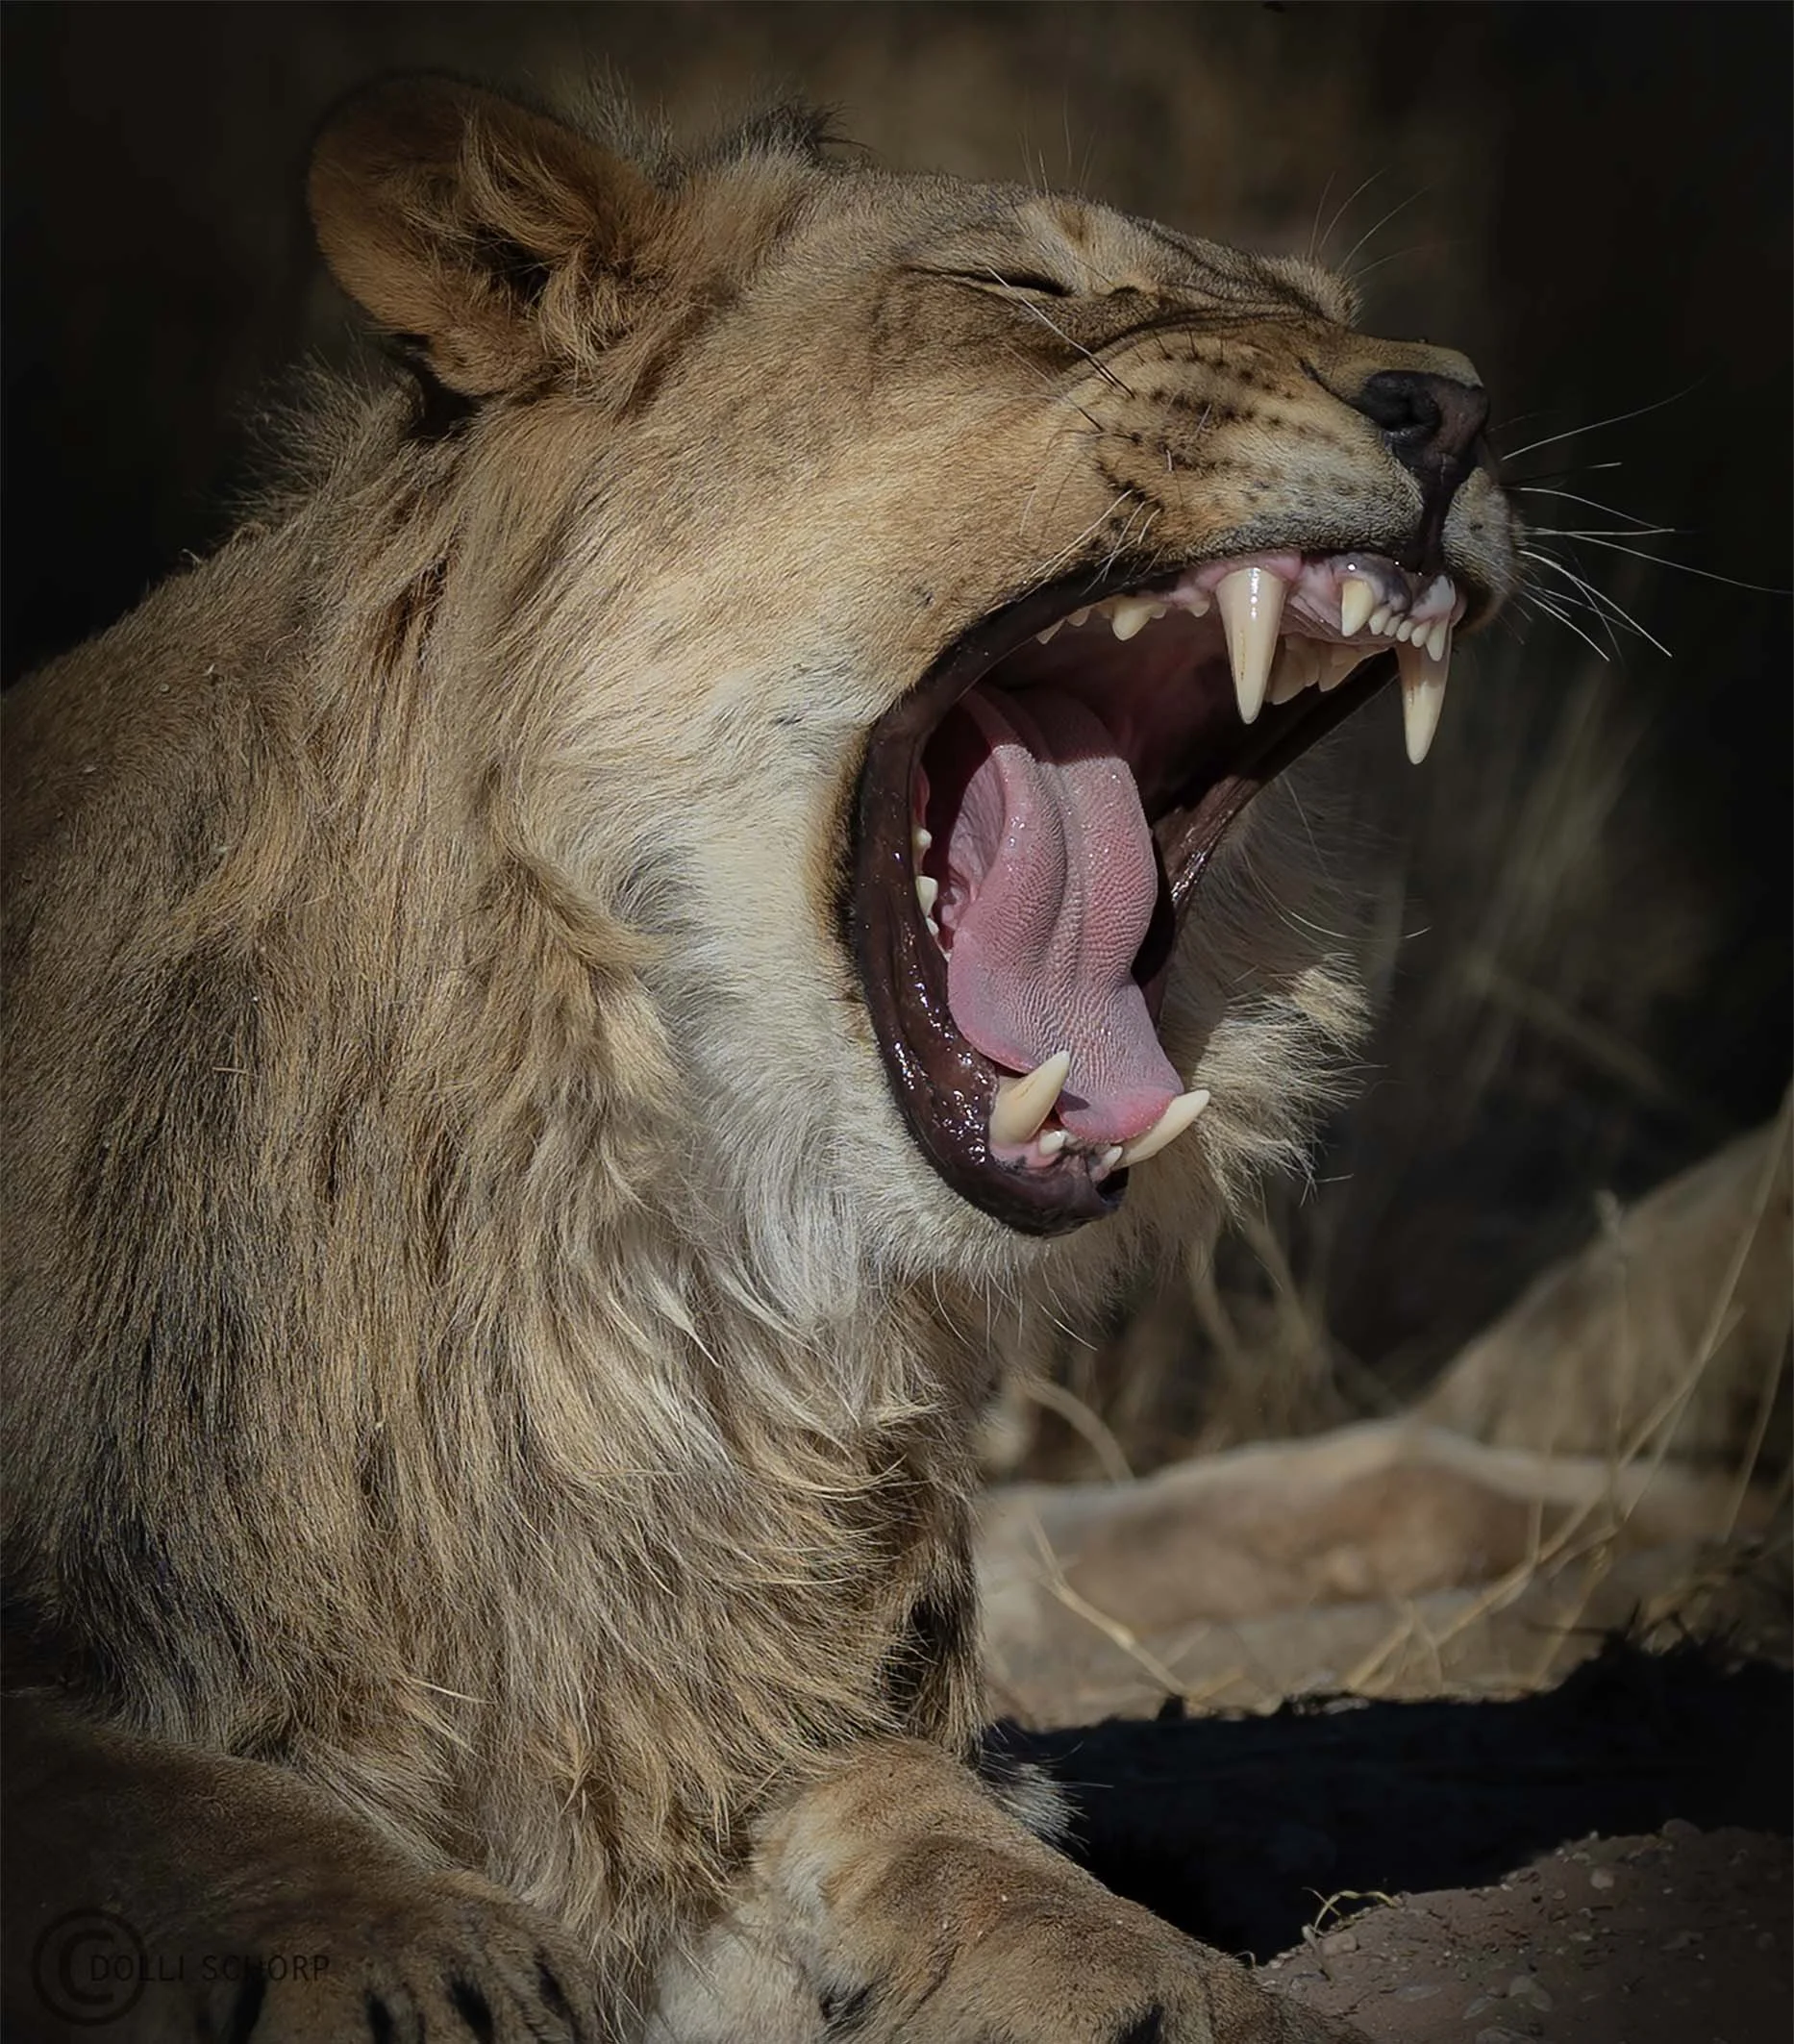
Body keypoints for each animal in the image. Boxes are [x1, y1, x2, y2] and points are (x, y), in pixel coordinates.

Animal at [2, 79, 1515, 2043]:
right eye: (1027, 287)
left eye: (1323, 303)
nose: (1457, 409)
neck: (648, 1265)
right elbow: (149, 1788)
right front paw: (413, 1952)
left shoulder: (740, 1718)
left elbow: (935, 1821)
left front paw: (1146, 1975)